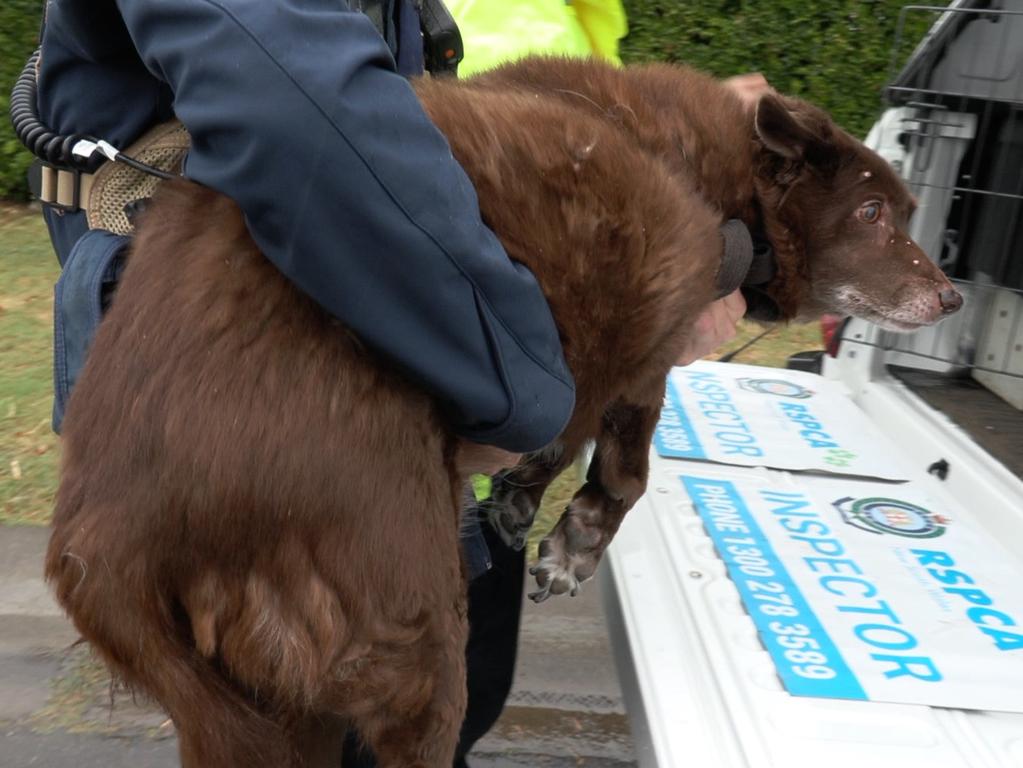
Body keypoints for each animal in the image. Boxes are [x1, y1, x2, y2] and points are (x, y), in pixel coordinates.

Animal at [46, 58, 957, 768]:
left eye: (904, 213)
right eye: (871, 213)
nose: (948, 296)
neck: (718, 174)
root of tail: (108, 544)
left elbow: (561, 439)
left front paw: (525, 502)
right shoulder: (649, 330)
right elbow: (624, 467)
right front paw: (572, 546)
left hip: (257, 706)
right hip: (404, 636)